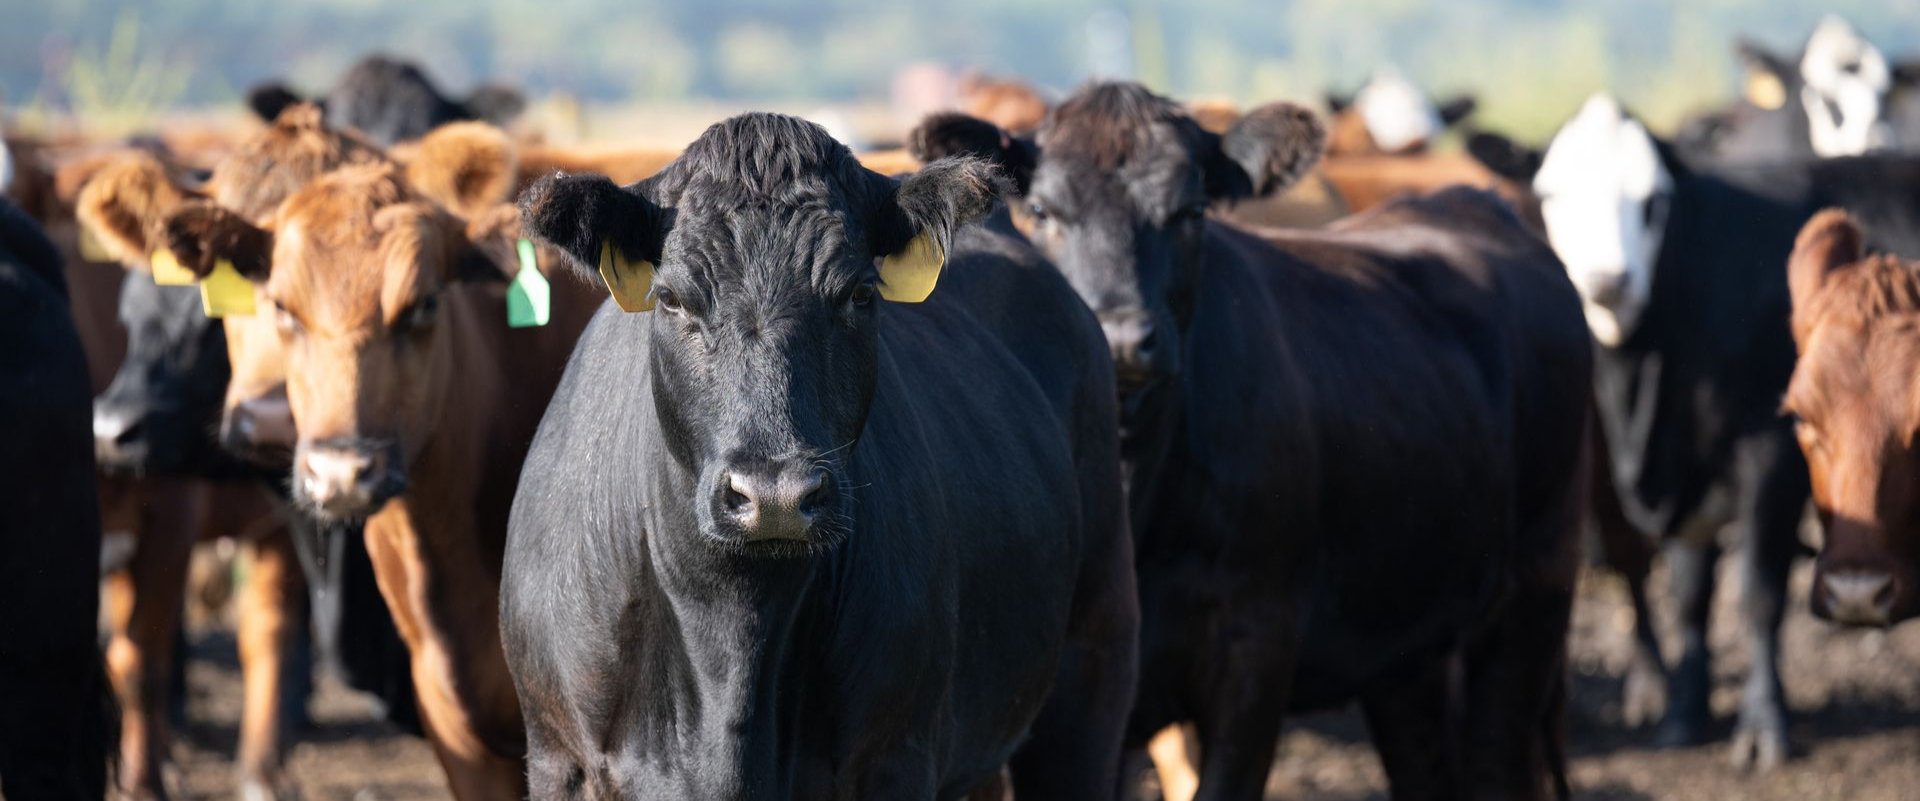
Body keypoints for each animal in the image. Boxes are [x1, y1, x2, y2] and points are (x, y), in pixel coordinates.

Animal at [501, 112, 1138, 800]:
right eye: (670, 298)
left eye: (859, 294)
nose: (774, 496)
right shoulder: (559, 755)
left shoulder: (897, 757)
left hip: (1093, 665)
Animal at [913, 81, 1592, 801]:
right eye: (1040, 209)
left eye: (1192, 210)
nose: (1122, 336)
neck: (1144, 488)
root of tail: (1475, 202)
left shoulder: (1254, 653)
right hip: (1410, 641)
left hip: (1536, 591)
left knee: (1499, 755)